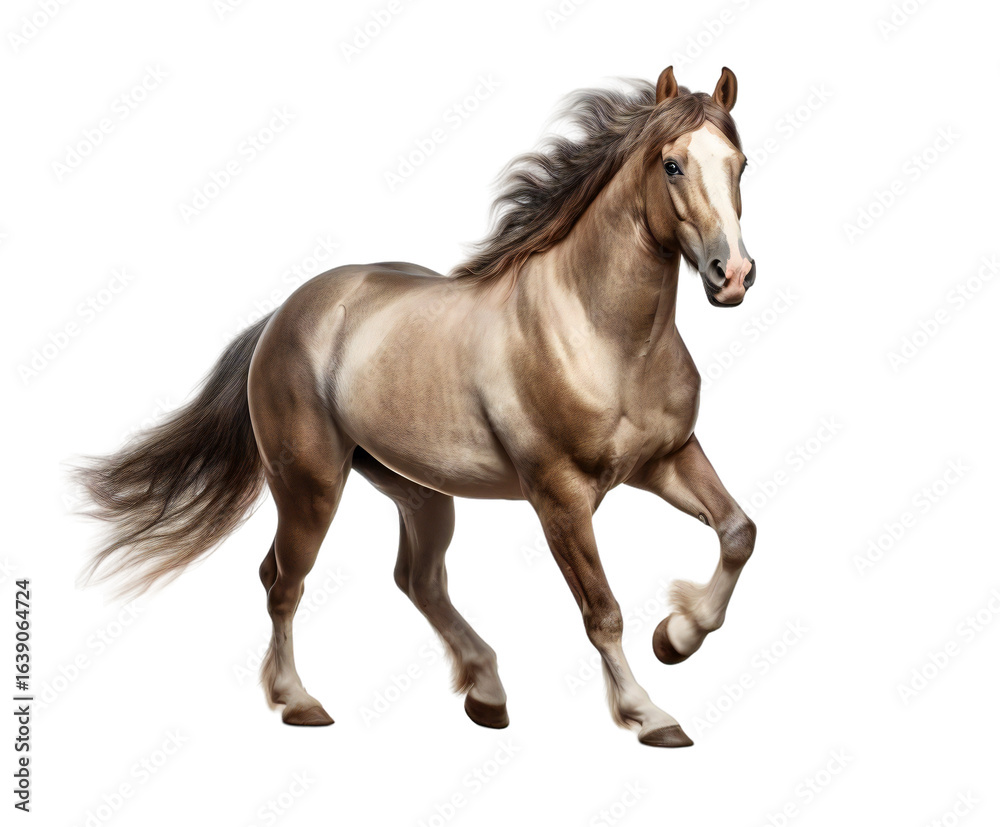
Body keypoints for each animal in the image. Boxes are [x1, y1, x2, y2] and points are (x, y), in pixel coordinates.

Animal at [76, 66, 757, 748]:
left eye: (740, 164)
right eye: (671, 165)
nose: (732, 275)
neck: (602, 337)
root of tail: (284, 315)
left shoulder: (666, 459)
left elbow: (738, 533)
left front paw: (676, 637)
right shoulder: (560, 496)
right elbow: (602, 611)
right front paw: (650, 714)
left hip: (418, 489)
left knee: (417, 579)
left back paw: (487, 694)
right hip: (309, 486)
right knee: (282, 579)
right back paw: (299, 701)